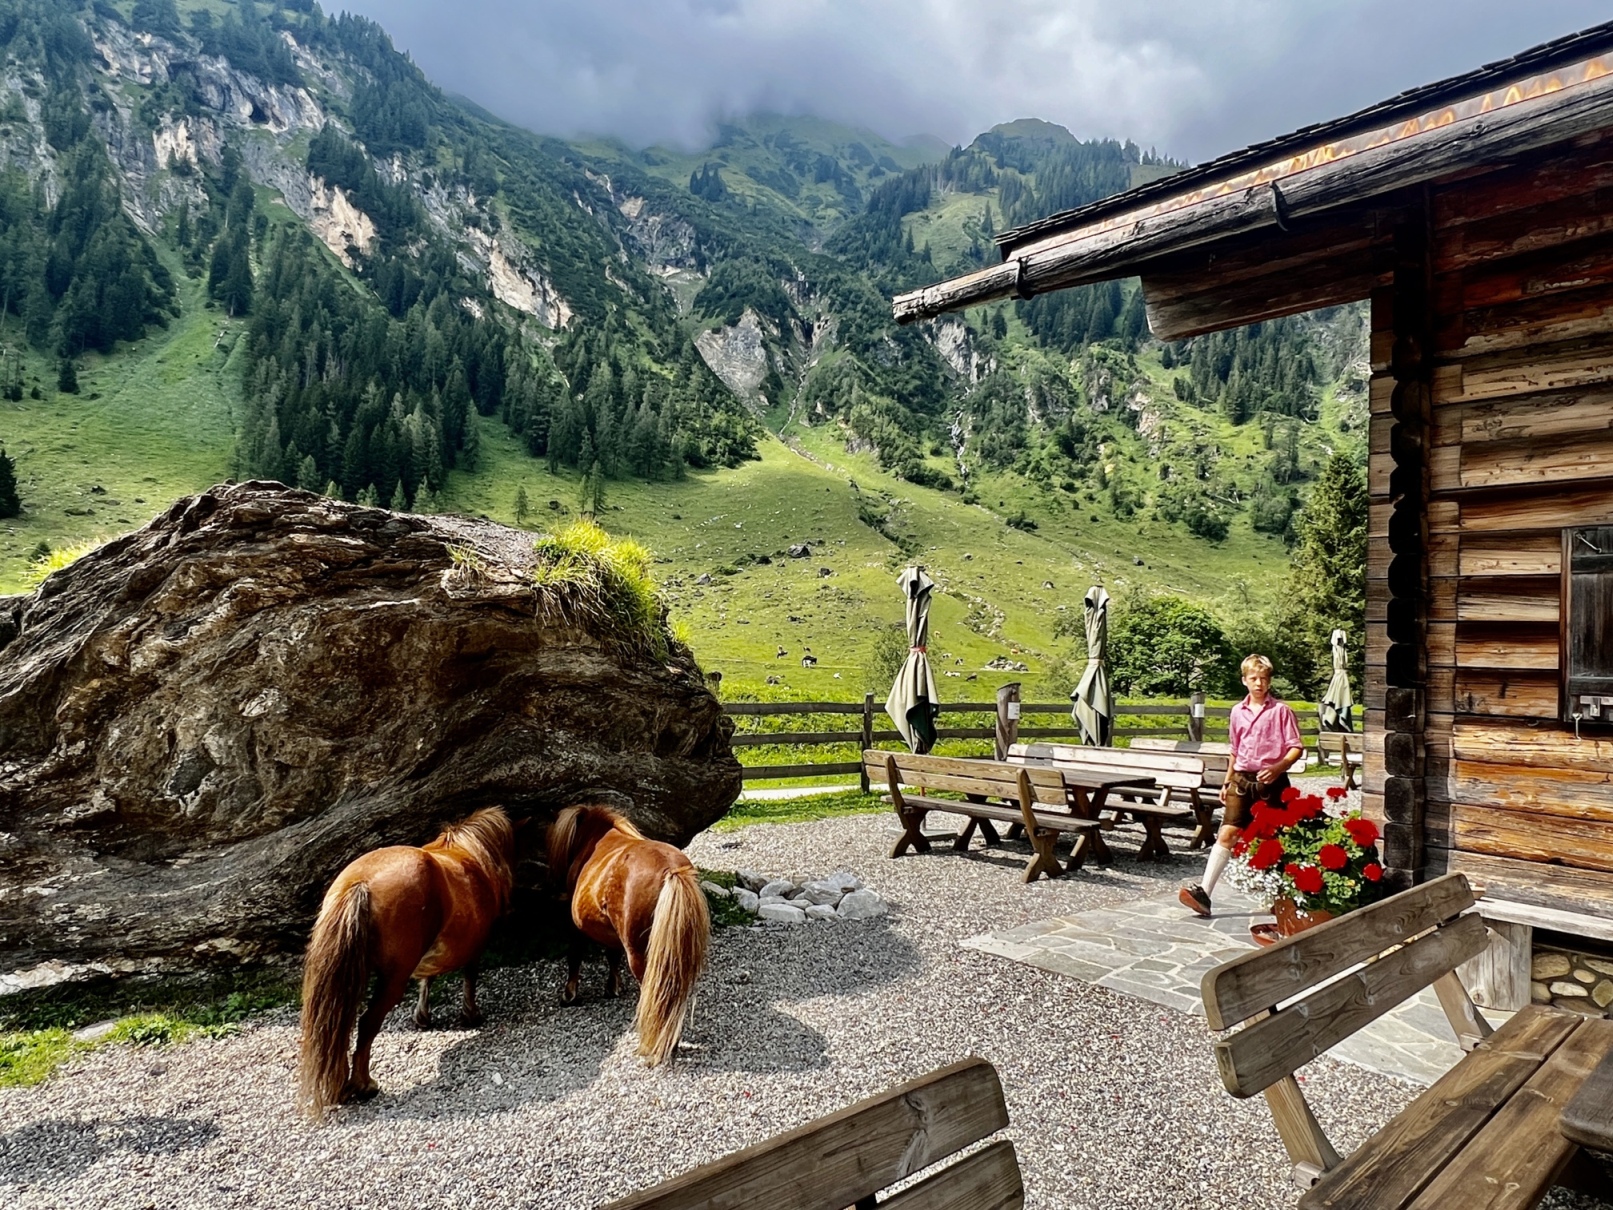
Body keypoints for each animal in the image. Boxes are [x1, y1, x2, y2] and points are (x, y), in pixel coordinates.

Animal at [293, 809, 512, 1122]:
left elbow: (427, 979)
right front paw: (470, 1014)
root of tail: (361, 882)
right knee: (367, 1023)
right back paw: (363, 1085)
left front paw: (423, 1016)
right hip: (391, 980)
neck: (467, 854)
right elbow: (469, 976)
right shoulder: (474, 947)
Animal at [548, 809, 706, 1064]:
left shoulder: (575, 928)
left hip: (642, 956)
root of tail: (672, 872)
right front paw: (613, 988)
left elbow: (575, 956)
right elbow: (612, 955)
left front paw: (569, 995)